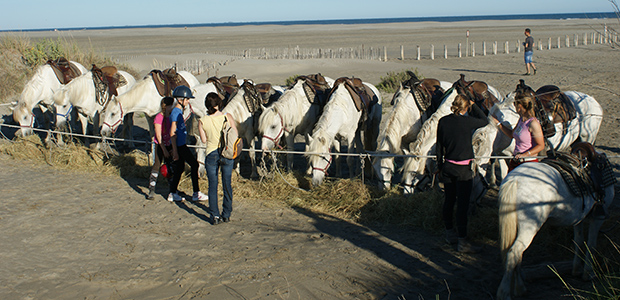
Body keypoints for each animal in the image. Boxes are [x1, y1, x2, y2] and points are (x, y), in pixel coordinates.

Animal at [496, 158, 612, 298]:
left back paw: (520, 288)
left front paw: (577, 269)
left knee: (518, 253)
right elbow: (591, 244)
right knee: (514, 252)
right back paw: (505, 293)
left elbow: (578, 241)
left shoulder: (579, 219)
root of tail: (515, 179)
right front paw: (589, 273)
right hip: (529, 227)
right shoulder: (598, 217)